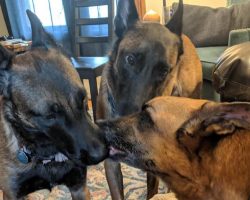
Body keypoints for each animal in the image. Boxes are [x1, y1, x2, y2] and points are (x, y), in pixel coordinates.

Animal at [0, 11, 106, 200]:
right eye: (49, 116)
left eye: (83, 97)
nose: (101, 154)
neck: (45, 154)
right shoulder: (12, 194)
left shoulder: (79, 187)